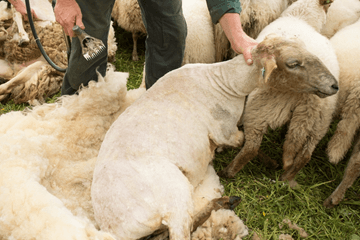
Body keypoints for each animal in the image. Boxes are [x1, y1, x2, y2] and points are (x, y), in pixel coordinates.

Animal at [90, 32, 324, 239]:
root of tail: (111, 228)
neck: (226, 82)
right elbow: (244, 141)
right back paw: (222, 203)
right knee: (180, 232)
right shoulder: (225, 130)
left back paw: (223, 202)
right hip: (174, 194)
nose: (331, 84)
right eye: (293, 63)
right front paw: (268, 162)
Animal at [217, 0, 340, 187]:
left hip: (261, 110)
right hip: (318, 122)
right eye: (294, 64)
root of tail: (305, 97)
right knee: (305, 156)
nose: (334, 85)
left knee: (251, 148)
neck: (300, 18)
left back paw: (227, 172)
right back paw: (286, 179)